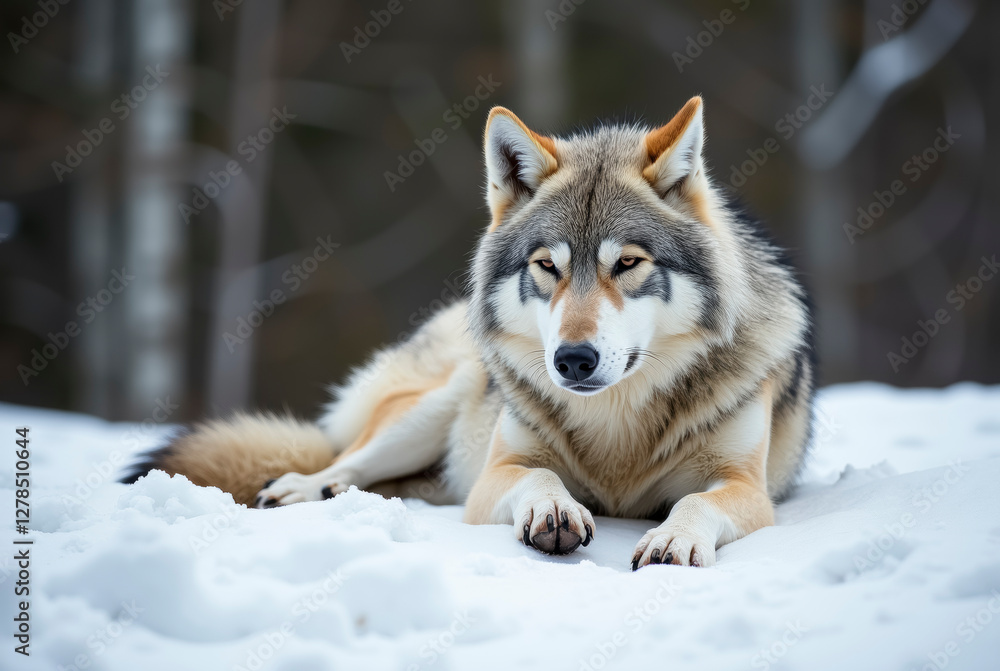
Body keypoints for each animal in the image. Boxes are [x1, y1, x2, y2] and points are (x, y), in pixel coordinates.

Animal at [123, 97, 815, 569]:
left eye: (627, 263)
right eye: (547, 266)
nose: (573, 360)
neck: (617, 429)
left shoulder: (746, 488)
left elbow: (696, 502)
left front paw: (673, 535)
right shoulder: (495, 474)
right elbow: (538, 478)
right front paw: (554, 510)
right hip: (435, 405)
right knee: (343, 459)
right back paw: (301, 488)